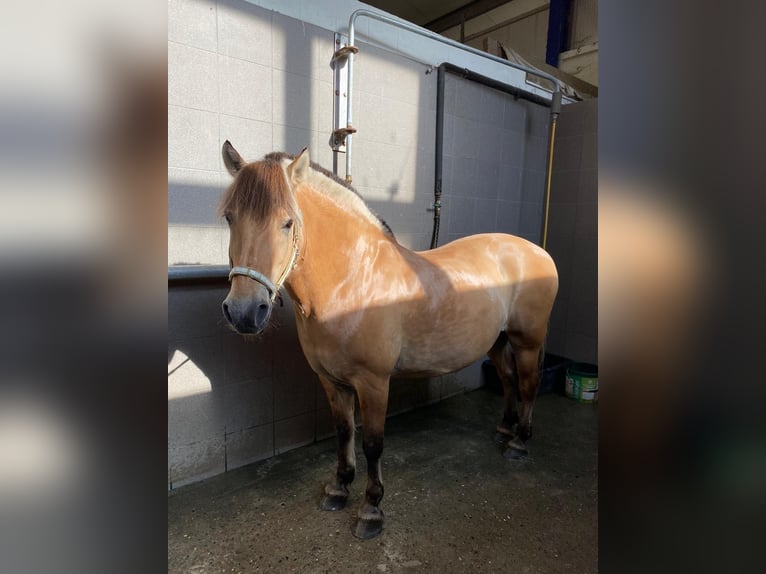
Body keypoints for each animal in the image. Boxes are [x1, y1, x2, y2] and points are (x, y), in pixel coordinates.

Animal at [218, 141, 559, 540]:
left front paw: (371, 510)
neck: (353, 280)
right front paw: (338, 488)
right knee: (506, 379)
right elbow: (343, 432)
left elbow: (372, 444)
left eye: (288, 222)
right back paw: (504, 430)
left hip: (527, 342)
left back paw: (519, 442)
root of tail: (537, 251)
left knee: (528, 384)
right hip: (497, 340)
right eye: (229, 218)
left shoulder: (374, 382)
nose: (243, 312)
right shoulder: (331, 380)